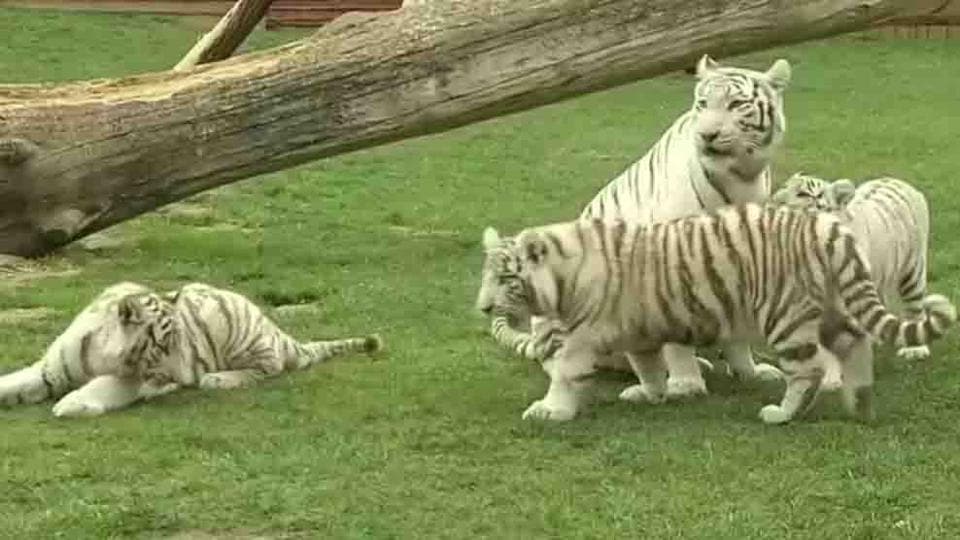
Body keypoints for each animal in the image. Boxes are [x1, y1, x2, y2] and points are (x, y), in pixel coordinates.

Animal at [0, 282, 382, 418]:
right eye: (162, 345)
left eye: (177, 343)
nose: (183, 377)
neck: (97, 353)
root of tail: (278, 330)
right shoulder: (50, 369)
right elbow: (14, 382)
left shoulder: (128, 378)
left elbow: (103, 386)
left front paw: (73, 405)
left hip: (247, 340)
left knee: (269, 367)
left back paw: (218, 379)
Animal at [476, 205, 956, 424]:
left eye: (506, 279)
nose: (483, 308)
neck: (563, 273)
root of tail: (823, 226)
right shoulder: (639, 334)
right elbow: (649, 368)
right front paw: (650, 394)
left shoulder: (582, 337)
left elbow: (564, 374)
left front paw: (549, 410)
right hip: (834, 308)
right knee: (855, 345)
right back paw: (860, 401)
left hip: (783, 316)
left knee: (810, 369)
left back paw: (782, 414)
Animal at [492, 54, 792, 398]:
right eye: (703, 104)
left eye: (736, 104)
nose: (707, 135)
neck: (740, 175)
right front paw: (686, 384)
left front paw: (749, 372)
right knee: (560, 359)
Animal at [776, 171, 932, 360]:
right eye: (783, 187)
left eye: (803, 194)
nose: (774, 200)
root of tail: (896, 180)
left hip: (913, 270)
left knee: (914, 306)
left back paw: (915, 349)